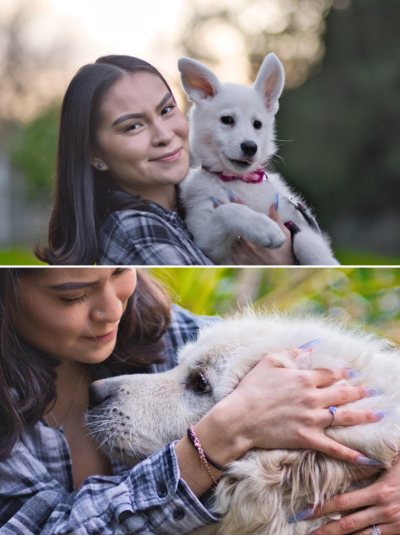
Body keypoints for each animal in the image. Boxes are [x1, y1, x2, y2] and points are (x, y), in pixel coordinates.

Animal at [180, 55, 340, 266]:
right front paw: (264, 228)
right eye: (227, 120)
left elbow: (306, 242)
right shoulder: (206, 242)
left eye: (257, 124)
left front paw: (326, 262)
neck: (241, 181)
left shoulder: (296, 222)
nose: (250, 147)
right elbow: (228, 210)